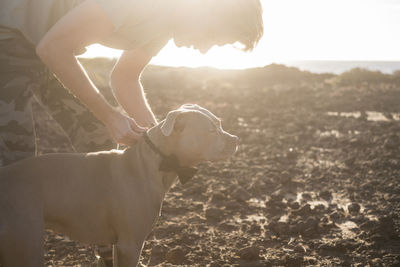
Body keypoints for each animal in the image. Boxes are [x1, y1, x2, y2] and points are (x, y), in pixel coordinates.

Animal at [0, 104, 238, 267]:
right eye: (211, 131)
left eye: (220, 124)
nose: (235, 139)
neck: (152, 163)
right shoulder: (130, 244)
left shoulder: (119, 244)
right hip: (27, 246)